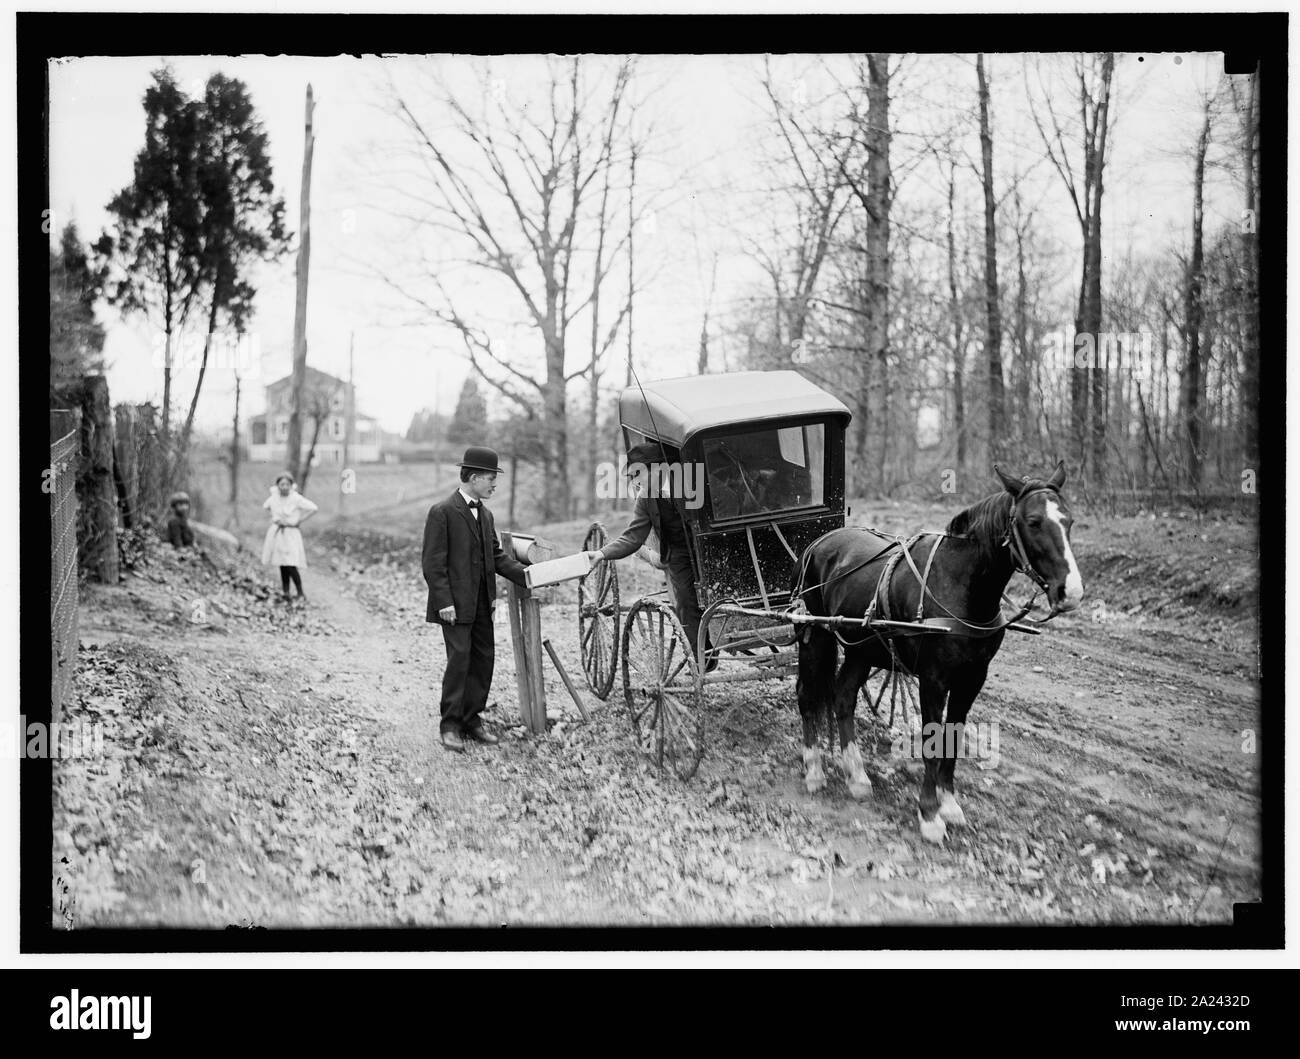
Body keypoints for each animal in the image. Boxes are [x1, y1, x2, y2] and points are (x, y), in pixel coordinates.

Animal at [790, 462, 1086, 847]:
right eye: (1033, 521)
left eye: (1069, 520)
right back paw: (813, 769)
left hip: (862, 648)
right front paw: (929, 813)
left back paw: (856, 774)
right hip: (814, 636)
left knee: (842, 697)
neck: (960, 584)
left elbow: (954, 736)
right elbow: (932, 738)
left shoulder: (972, 678)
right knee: (808, 696)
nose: (1071, 592)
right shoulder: (933, 679)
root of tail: (818, 543)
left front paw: (949, 802)